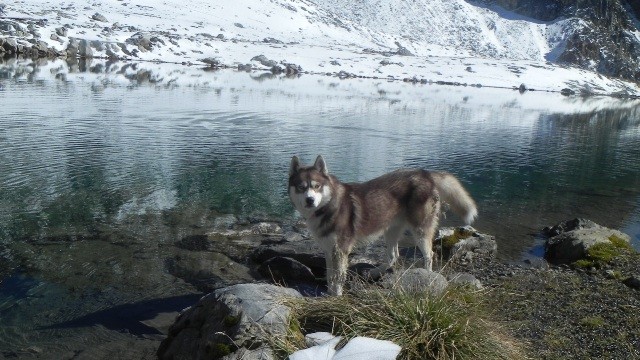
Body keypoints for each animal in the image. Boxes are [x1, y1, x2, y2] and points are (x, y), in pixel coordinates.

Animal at [288, 155, 478, 296]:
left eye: (317, 186)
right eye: (301, 187)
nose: (310, 200)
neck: (327, 207)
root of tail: (425, 173)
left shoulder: (340, 251)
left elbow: (337, 277)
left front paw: (336, 295)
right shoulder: (328, 250)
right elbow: (330, 275)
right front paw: (329, 292)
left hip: (420, 231)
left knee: (429, 255)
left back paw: (428, 276)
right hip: (391, 230)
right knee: (393, 255)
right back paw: (374, 272)